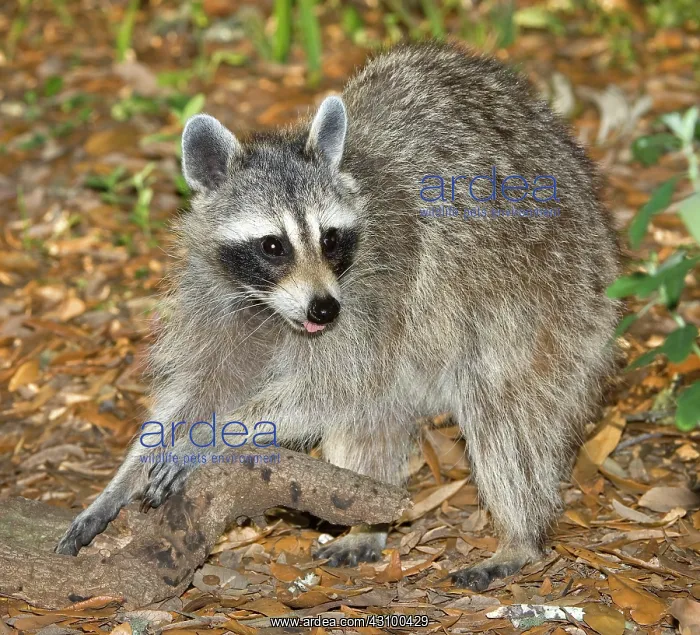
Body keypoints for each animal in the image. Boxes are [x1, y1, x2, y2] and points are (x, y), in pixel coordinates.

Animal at [56, 41, 620, 591]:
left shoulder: (382, 285)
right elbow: (200, 388)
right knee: (376, 413)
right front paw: (131, 471)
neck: (273, 307)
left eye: (330, 239)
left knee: (504, 409)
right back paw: (368, 522)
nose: (324, 308)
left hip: (550, 295)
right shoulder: (216, 297)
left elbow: (327, 389)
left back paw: (519, 534)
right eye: (273, 245)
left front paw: (215, 434)